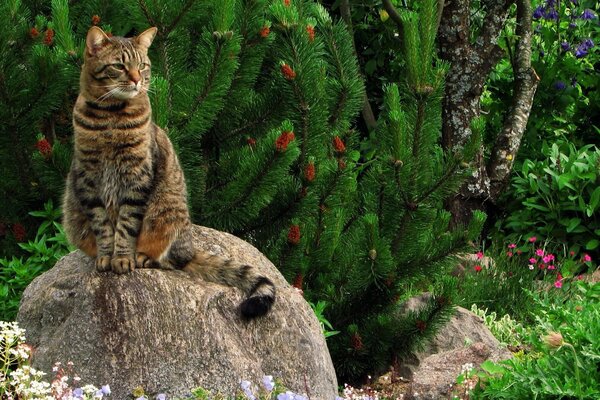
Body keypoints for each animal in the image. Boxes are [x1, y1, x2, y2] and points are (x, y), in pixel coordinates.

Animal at [62, 25, 276, 318]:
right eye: (119, 66)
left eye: (142, 65)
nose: (137, 80)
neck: (110, 116)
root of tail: (190, 248)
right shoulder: (87, 178)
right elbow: (103, 225)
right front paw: (107, 256)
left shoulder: (138, 177)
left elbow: (126, 225)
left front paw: (123, 258)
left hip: (166, 214)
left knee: (170, 259)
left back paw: (143, 257)